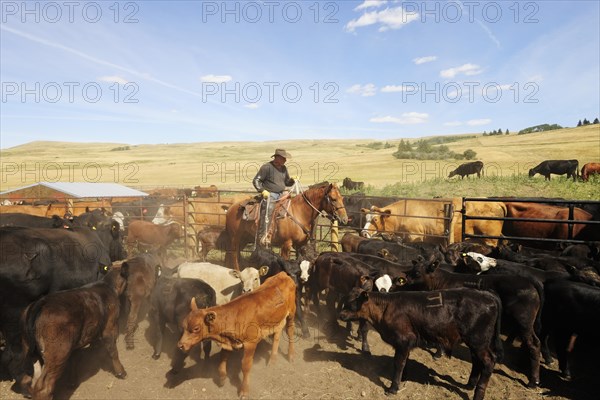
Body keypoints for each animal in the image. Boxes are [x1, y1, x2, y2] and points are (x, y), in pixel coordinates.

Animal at [176, 272, 296, 400]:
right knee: (277, 333)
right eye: (184, 325)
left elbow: (246, 366)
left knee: (290, 331)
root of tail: (282, 274)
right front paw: (222, 379)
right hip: (276, 319)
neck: (236, 315)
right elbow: (222, 360)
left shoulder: (251, 343)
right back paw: (272, 360)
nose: (180, 345)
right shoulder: (228, 342)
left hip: (292, 311)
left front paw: (244, 391)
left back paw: (290, 355)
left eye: (196, 328)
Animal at [340, 286, 504, 398]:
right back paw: (469, 385)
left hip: (479, 341)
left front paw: (393, 388)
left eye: (352, 304)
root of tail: (486, 294)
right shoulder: (405, 344)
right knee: (476, 361)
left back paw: (478, 393)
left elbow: (398, 363)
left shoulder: (403, 340)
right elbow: (404, 362)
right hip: (475, 343)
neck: (386, 307)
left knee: (488, 362)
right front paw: (402, 379)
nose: (340, 315)